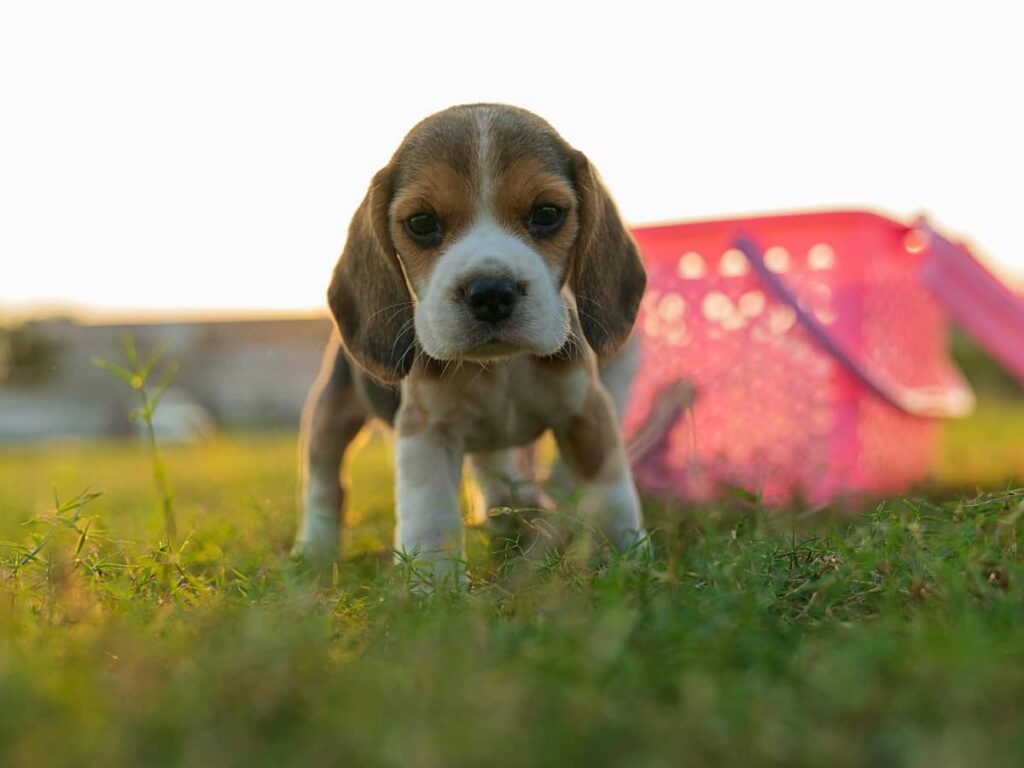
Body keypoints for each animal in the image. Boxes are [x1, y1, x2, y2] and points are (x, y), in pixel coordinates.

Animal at [296, 103, 647, 581]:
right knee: (325, 482)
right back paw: (313, 547)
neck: (501, 369)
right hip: (331, 413)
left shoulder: (587, 412)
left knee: (493, 468)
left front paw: (629, 560)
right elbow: (432, 518)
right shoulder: (425, 430)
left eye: (547, 213)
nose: (491, 293)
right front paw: (434, 587)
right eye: (421, 223)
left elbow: (612, 491)